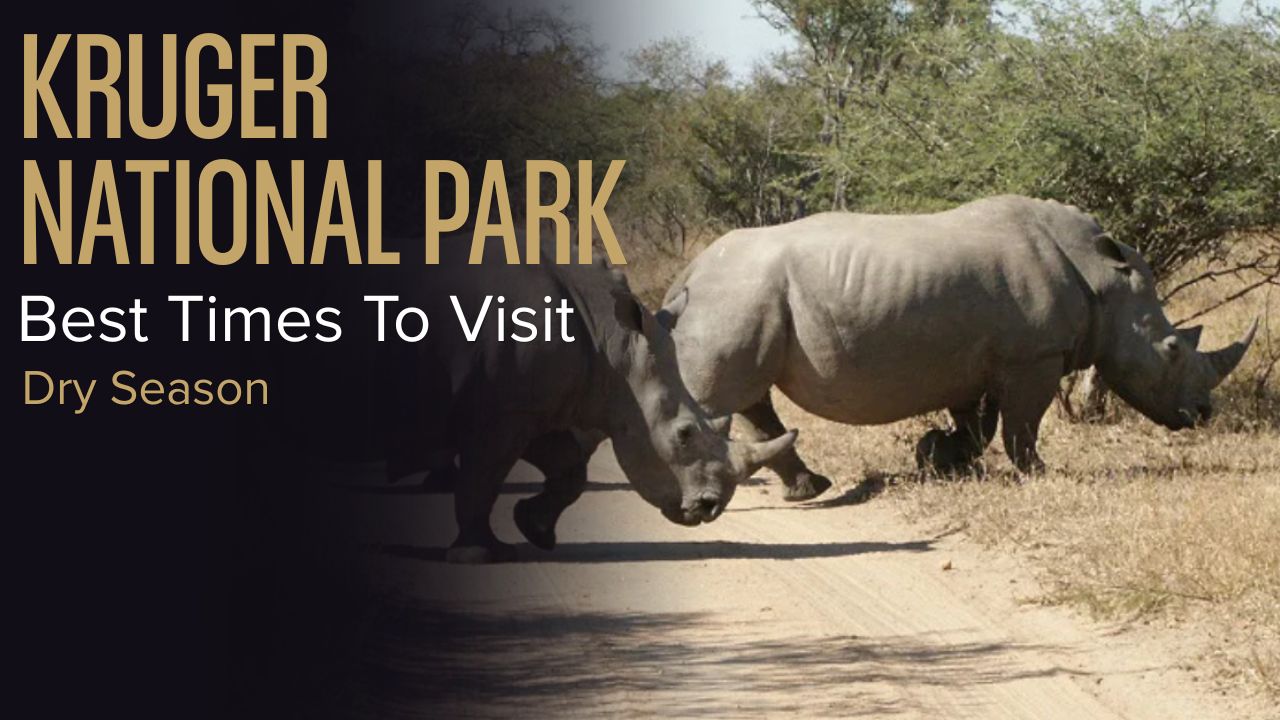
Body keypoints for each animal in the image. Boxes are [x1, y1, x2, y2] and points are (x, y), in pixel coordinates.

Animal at [389, 249, 797, 563]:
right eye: (684, 434)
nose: (710, 508)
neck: (612, 346)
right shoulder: (502, 415)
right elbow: (482, 480)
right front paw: (481, 555)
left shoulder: (533, 407)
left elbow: (569, 469)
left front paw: (534, 529)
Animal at [660, 195, 1255, 498]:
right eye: (1172, 349)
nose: (1203, 413)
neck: (1103, 278)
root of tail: (690, 271)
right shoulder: (1033, 357)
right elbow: (1022, 423)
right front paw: (1038, 473)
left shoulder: (974, 362)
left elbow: (977, 423)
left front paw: (939, 458)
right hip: (738, 295)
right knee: (720, 397)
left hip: (744, 296)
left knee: (751, 394)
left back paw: (809, 489)